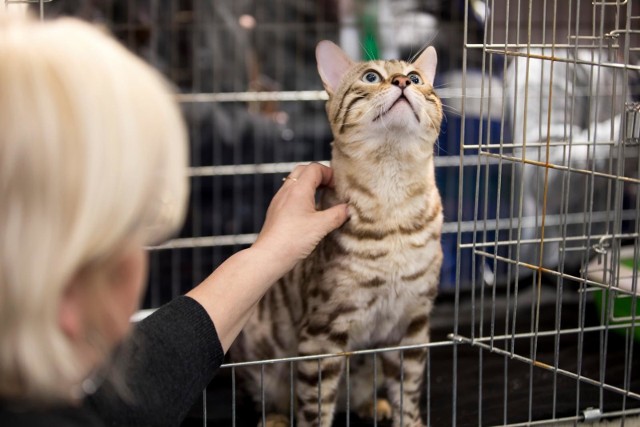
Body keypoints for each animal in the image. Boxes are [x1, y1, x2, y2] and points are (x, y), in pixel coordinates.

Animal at [230, 40, 444, 427]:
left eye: (417, 77)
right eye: (371, 76)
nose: (403, 81)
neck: (394, 206)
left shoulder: (411, 325)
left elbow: (408, 394)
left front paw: (406, 417)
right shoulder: (322, 334)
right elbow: (315, 408)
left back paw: (374, 405)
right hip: (256, 349)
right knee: (272, 399)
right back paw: (276, 419)